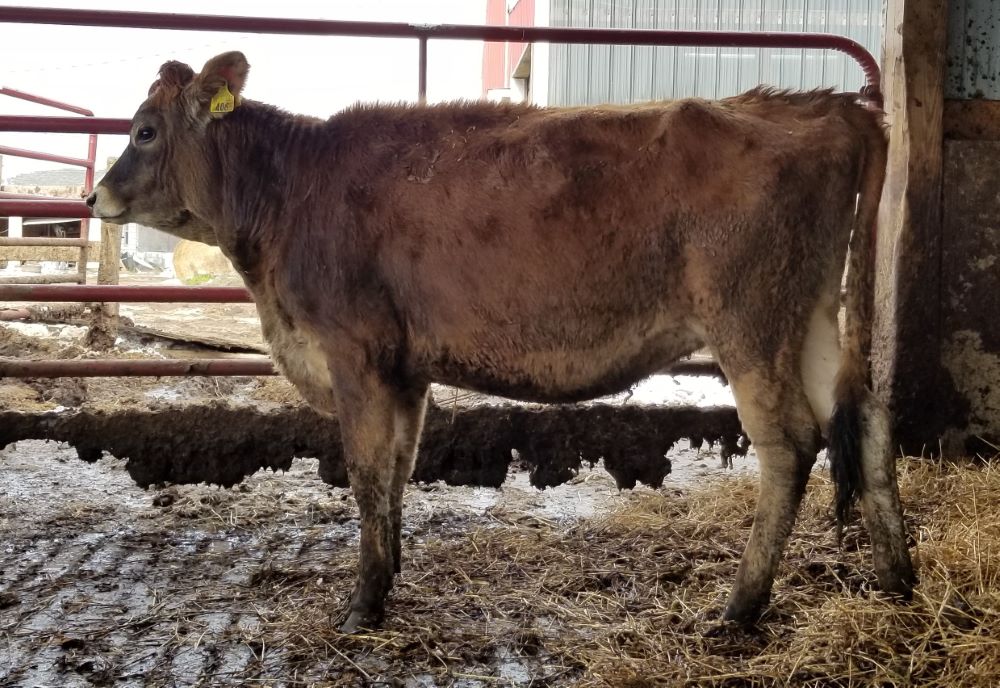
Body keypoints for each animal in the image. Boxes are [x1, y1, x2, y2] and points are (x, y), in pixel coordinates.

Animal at [88, 52, 916, 633]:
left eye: (144, 129)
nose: (93, 195)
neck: (291, 194)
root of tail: (829, 107)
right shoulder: (404, 367)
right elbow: (397, 469)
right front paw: (389, 576)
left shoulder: (355, 353)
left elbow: (365, 473)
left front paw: (362, 604)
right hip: (813, 312)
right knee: (871, 421)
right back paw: (899, 581)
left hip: (750, 316)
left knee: (790, 444)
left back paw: (741, 607)